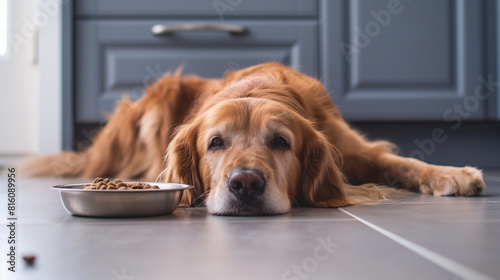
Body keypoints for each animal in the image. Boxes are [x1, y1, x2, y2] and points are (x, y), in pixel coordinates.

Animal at [27, 63, 484, 214]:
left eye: (281, 142)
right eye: (215, 143)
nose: (245, 184)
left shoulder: (355, 148)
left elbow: (404, 163)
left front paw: (454, 174)